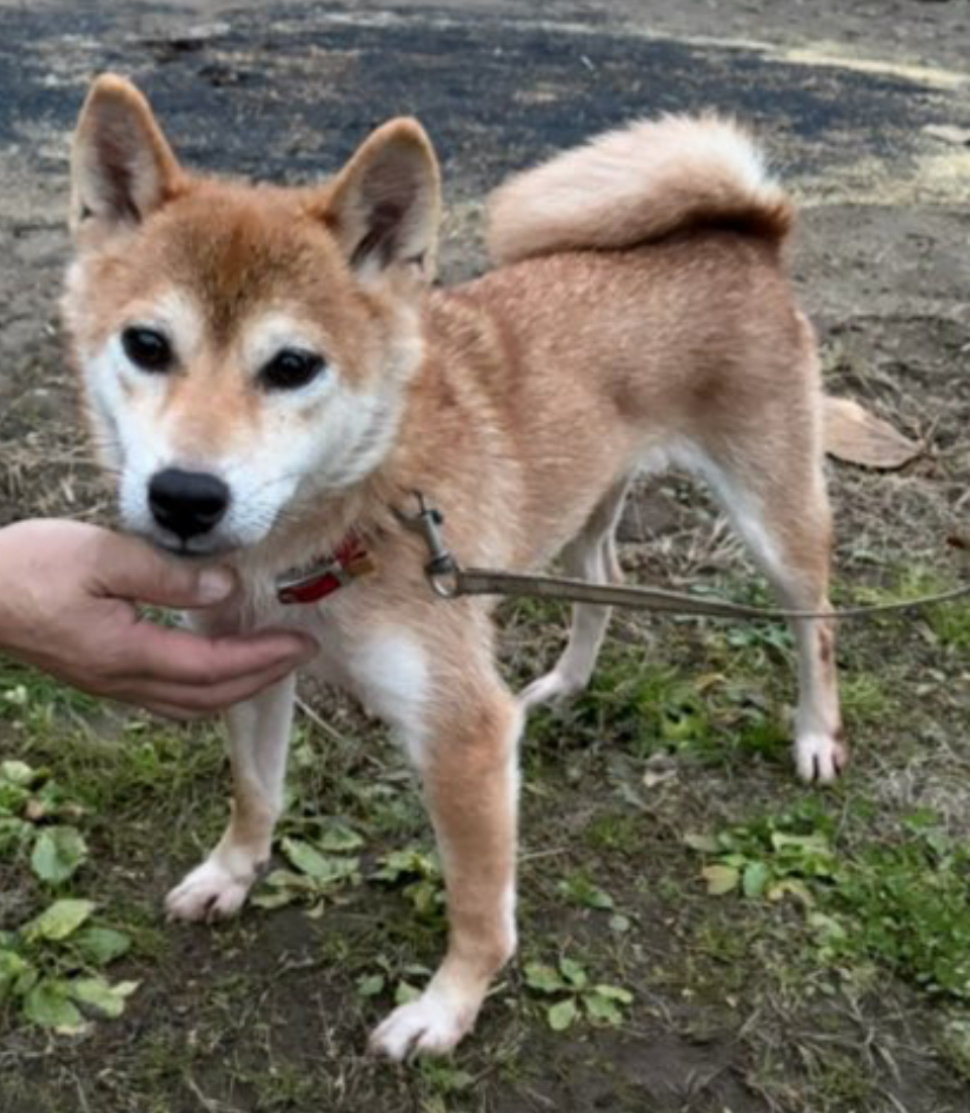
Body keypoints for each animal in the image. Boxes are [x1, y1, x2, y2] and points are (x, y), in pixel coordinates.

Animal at [62, 74, 847, 1058]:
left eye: (293, 365)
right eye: (146, 345)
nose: (184, 496)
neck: (337, 522)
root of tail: (747, 232)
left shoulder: (462, 734)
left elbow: (478, 908)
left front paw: (448, 1006)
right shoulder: (244, 665)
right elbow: (255, 792)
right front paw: (232, 871)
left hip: (774, 519)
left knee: (816, 622)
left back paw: (816, 734)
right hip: (585, 504)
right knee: (605, 586)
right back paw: (563, 684)